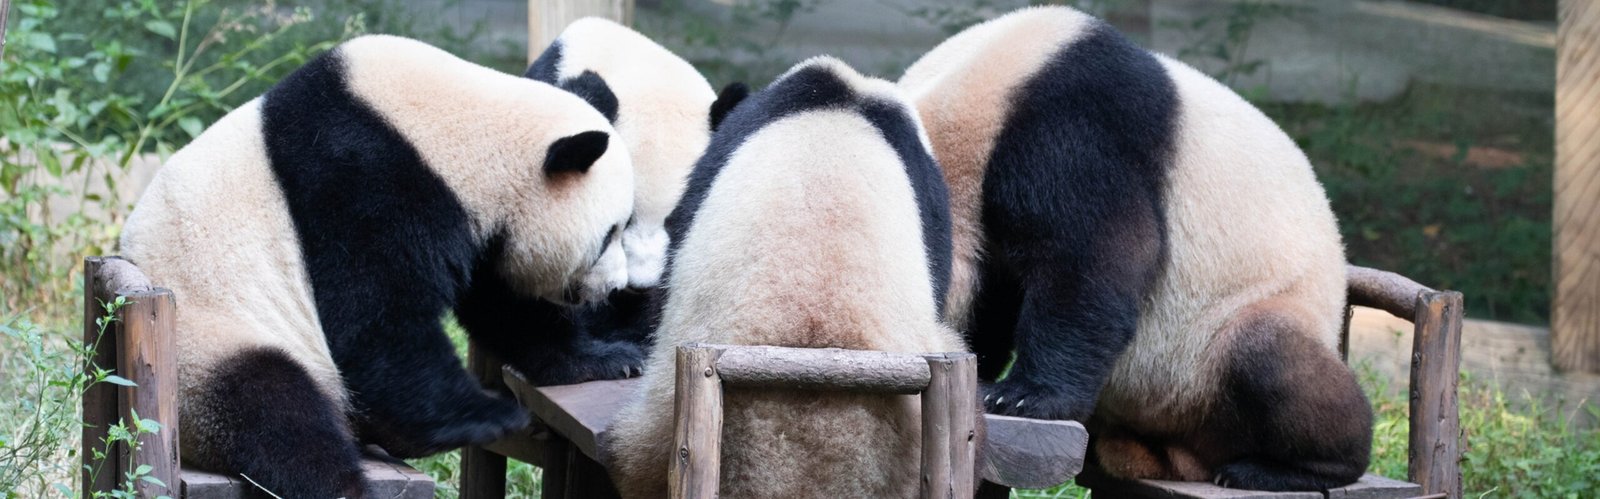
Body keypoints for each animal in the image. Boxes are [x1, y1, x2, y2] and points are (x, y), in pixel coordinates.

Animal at [118, 35, 634, 497]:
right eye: (610, 233)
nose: (617, 287)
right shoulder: (363, 181)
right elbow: (377, 324)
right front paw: (488, 415)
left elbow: (503, 306)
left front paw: (606, 359)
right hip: (209, 343)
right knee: (274, 407)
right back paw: (347, 482)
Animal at [897, 6, 1369, 492]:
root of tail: (1192, 458)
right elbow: (996, 295)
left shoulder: (1073, 124)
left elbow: (1096, 260)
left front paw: (1022, 396)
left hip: (1231, 336)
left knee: (1271, 355)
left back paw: (1287, 468)